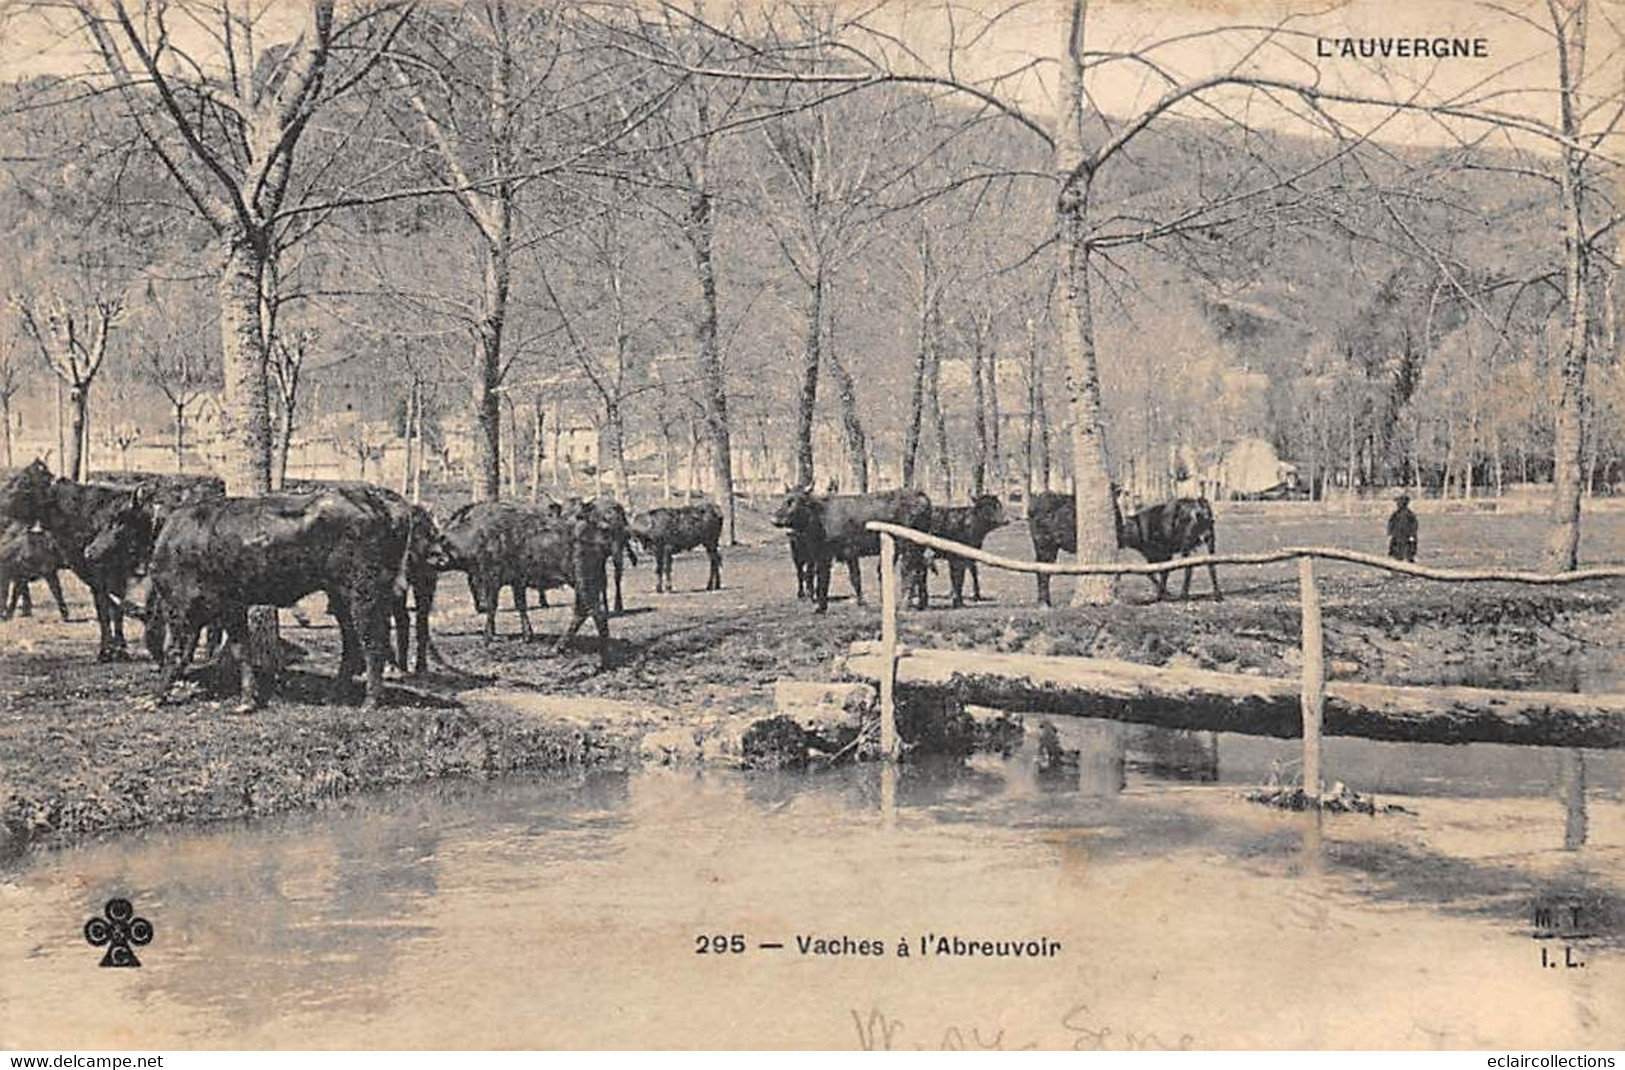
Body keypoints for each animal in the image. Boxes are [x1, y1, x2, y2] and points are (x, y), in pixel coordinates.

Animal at [147, 484, 406, 708]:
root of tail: (375, 499)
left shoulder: (181, 607)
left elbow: (175, 650)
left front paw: (156, 697)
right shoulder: (231, 607)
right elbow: (242, 649)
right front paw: (247, 700)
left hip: (363, 593)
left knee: (373, 640)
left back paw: (370, 701)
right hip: (341, 597)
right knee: (352, 643)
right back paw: (335, 695)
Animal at [438, 494, 620, 663]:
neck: (477, 534)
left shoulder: (492, 578)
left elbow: (492, 607)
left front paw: (487, 637)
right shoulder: (517, 581)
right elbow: (521, 605)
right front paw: (527, 635)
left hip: (584, 580)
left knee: (592, 611)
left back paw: (599, 651)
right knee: (587, 610)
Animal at [770, 487, 936, 611]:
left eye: (793, 502)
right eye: (784, 499)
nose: (774, 519)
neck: (821, 517)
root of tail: (921, 496)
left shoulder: (846, 551)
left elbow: (851, 577)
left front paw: (860, 602)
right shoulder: (825, 555)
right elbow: (825, 578)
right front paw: (822, 606)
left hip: (908, 544)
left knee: (910, 571)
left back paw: (905, 604)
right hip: (916, 546)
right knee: (920, 571)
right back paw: (921, 603)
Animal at [1027, 491, 1222, 604]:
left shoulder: (1159, 553)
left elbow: (1158, 572)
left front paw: (1164, 594)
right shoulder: (1158, 553)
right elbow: (1155, 572)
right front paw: (1164, 594)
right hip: (1044, 545)